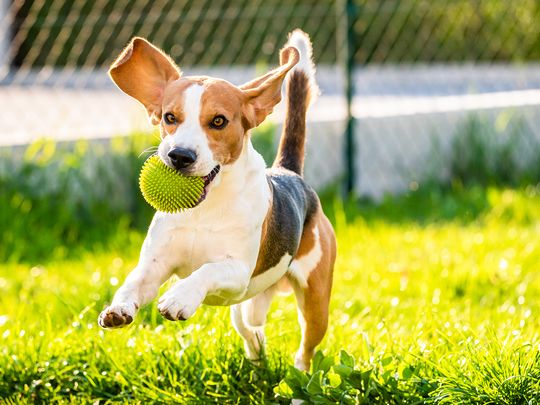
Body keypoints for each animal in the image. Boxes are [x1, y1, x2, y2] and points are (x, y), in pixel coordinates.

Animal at [96, 29, 334, 370]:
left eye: (219, 121)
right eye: (170, 117)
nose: (180, 156)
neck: (202, 211)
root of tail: (289, 173)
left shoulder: (236, 270)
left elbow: (206, 270)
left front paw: (179, 298)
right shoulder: (155, 265)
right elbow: (134, 281)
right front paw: (118, 308)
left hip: (316, 303)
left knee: (305, 349)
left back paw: (299, 378)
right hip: (244, 309)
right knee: (251, 329)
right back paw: (257, 356)